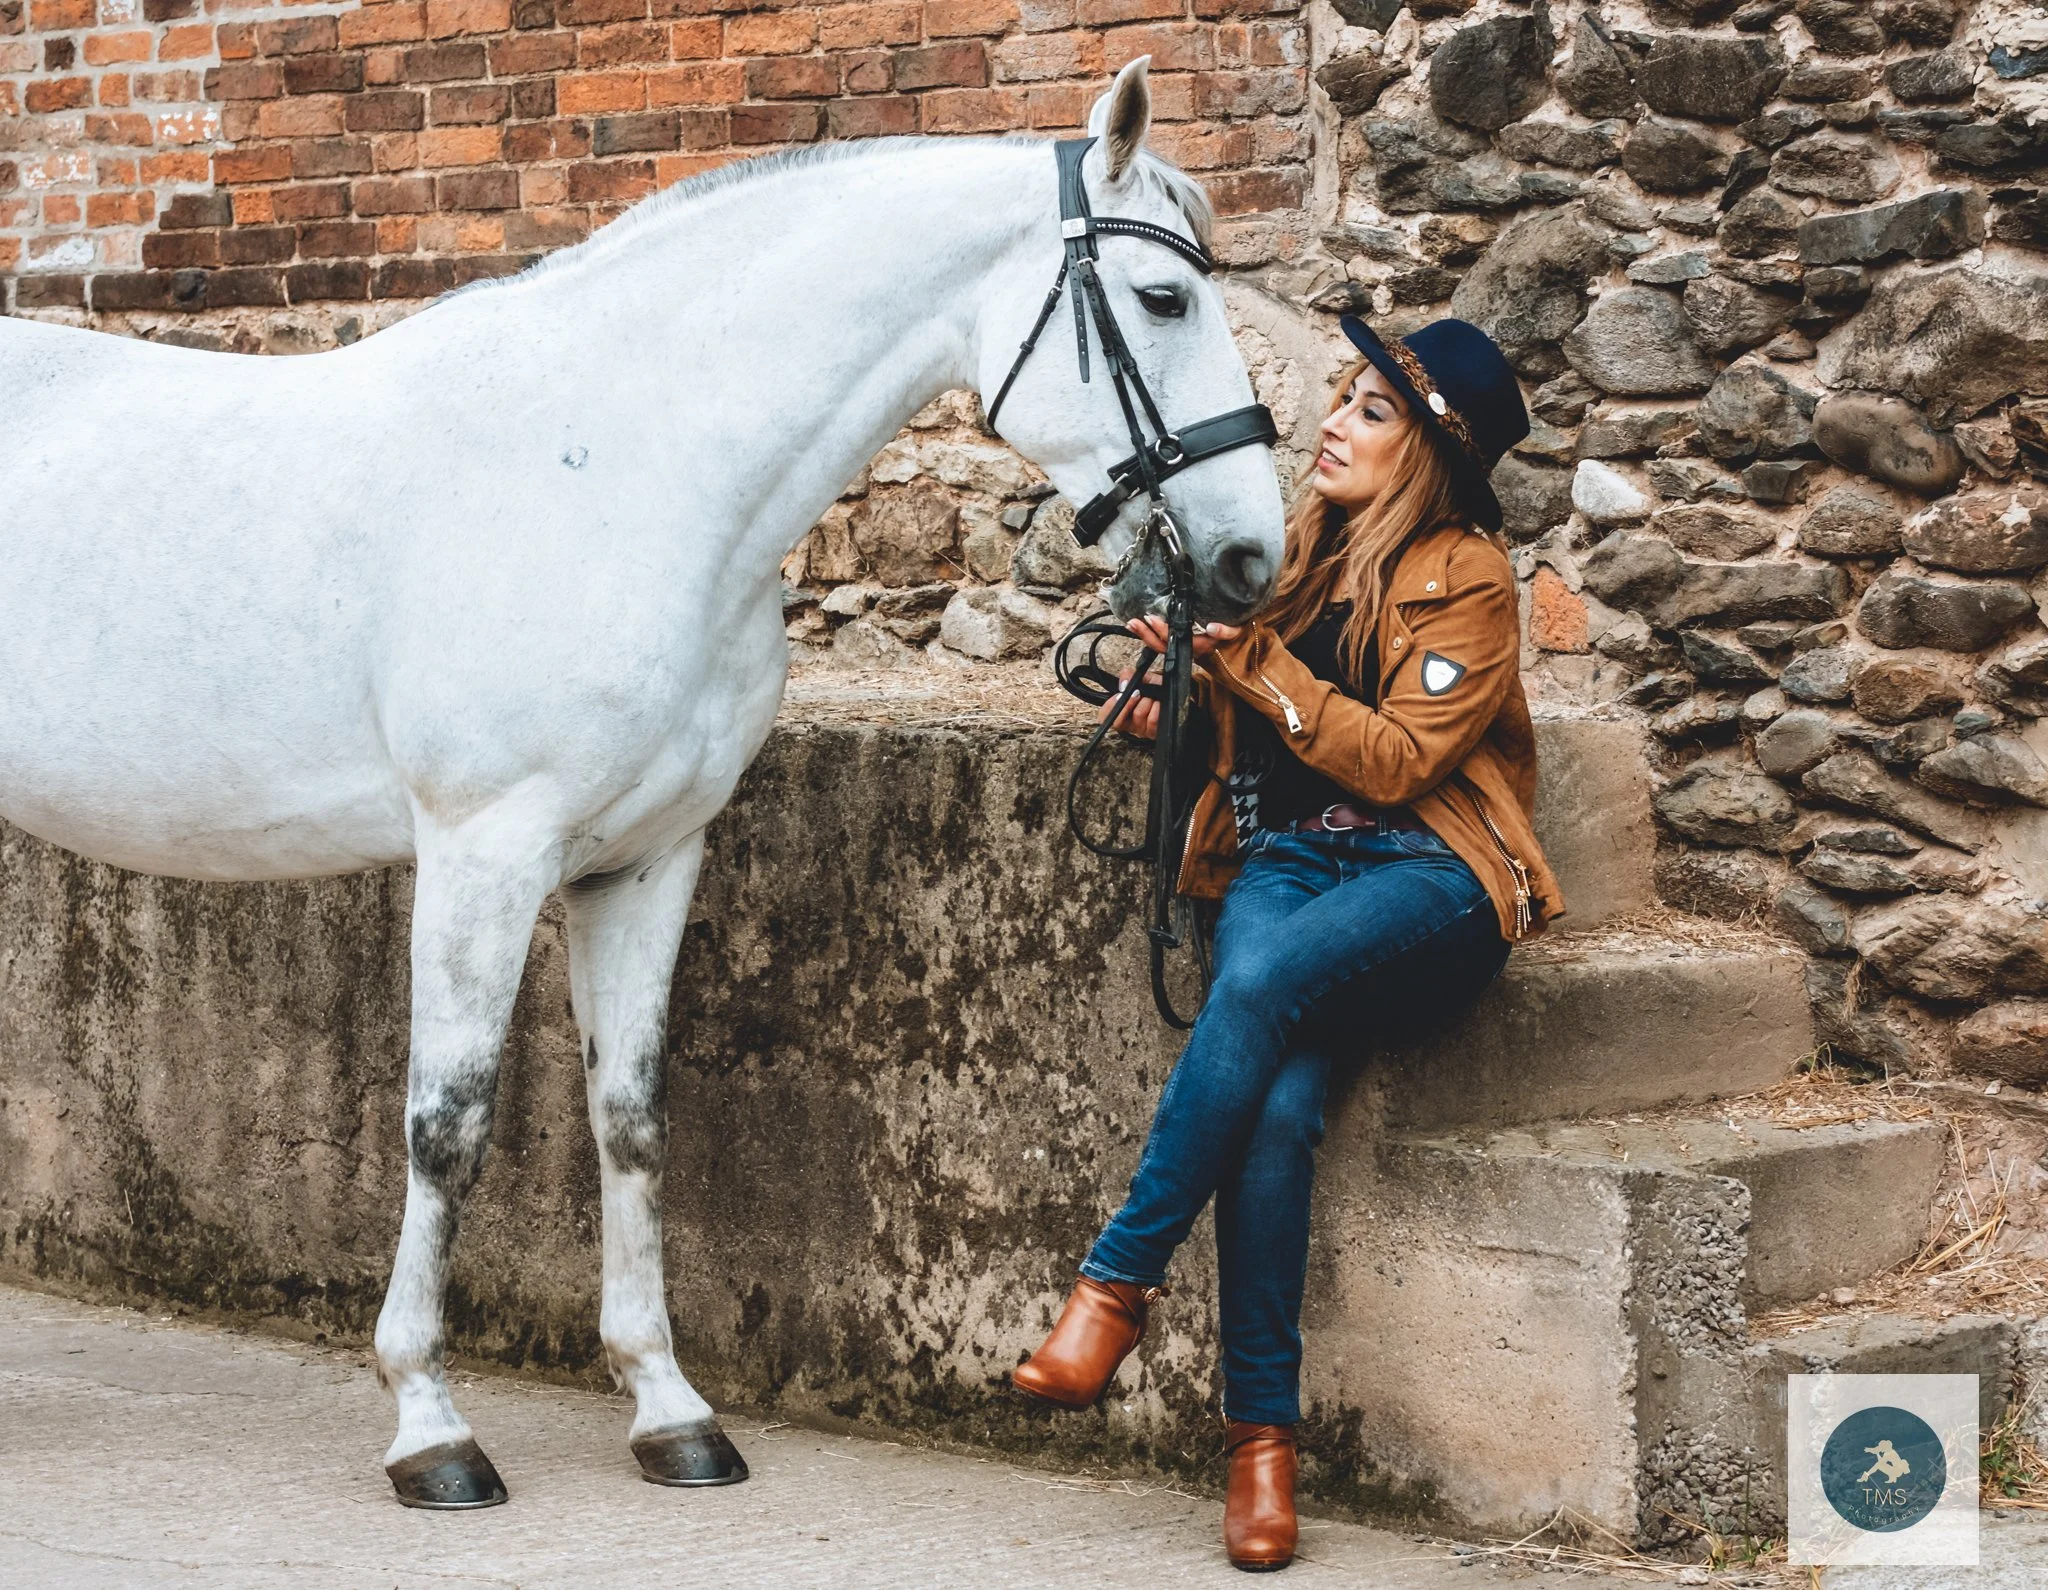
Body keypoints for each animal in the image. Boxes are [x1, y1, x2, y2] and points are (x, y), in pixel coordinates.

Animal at [0, 57, 1285, 1506]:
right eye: (1165, 297)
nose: (1251, 557)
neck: (617, 471)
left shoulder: (648, 857)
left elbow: (630, 1115)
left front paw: (668, 1407)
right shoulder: (483, 851)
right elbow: (446, 1123)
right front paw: (430, 1424)